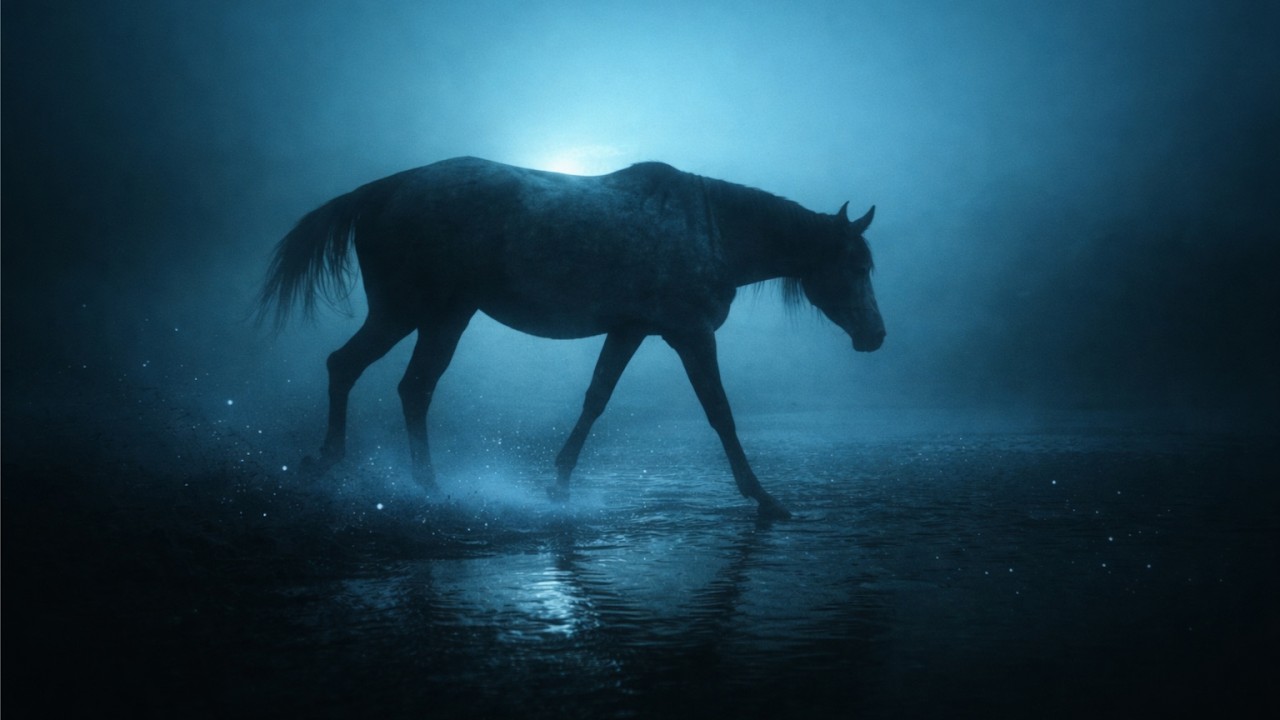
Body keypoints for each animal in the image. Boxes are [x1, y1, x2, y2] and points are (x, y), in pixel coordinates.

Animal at [259, 157, 884, 519]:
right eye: (854, 265)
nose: (876, 336)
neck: (710, 229)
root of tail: (384, 190)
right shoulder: (690, 334)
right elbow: (720, 413)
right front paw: (765, 497)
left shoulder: (632, 329)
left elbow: (596, 398)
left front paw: (559, 482)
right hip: (413, 311)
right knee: (361, 371)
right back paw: (368, 470)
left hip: (442, 315)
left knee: (399, 383)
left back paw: (407, 480)